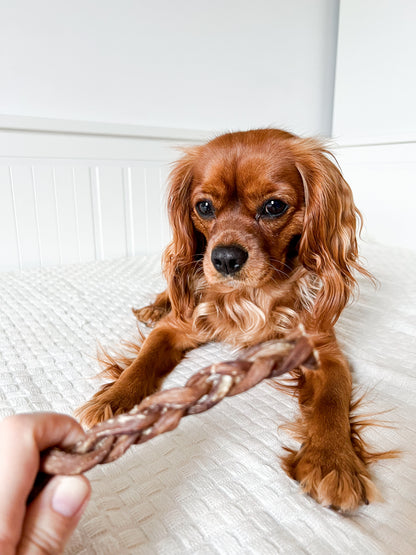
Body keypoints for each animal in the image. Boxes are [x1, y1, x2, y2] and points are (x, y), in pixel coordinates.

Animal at [77, 129, 380, 512]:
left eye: (274, 206)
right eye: (204, 207)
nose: (223, 258)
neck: (250, 296)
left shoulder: (324, 349)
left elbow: (332, 400)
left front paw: (334, 462)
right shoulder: (174, 328)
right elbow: (143, 360)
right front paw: (115, 401)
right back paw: (155, 306)